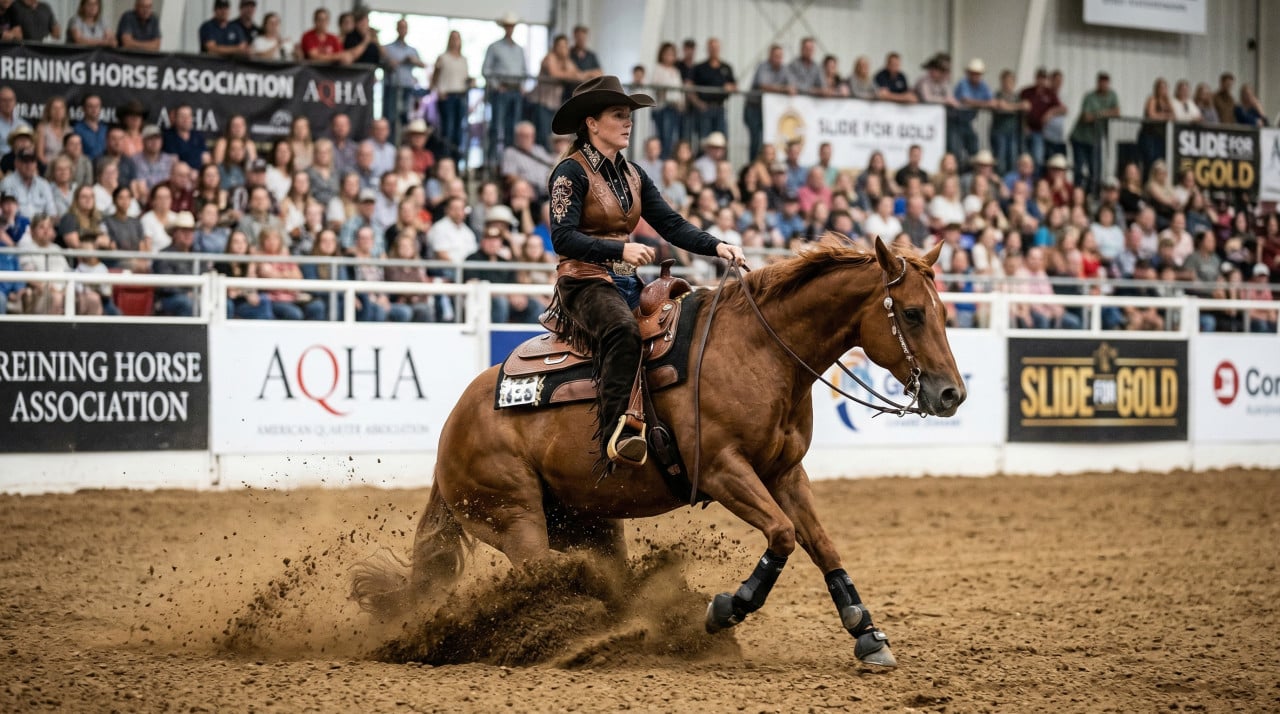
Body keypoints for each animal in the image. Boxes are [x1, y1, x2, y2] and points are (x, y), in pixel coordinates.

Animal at [351, 235, 966, 668]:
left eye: (943, 312)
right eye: (912, 313)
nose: (951, 394)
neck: (759, 352)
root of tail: (452, 428)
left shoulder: (786, 474)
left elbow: (822, 544)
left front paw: (868, 634)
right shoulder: (723, 472)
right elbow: (783, 535)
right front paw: (726, 609)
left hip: (590, 523)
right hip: (513, 516)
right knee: (543, 572)